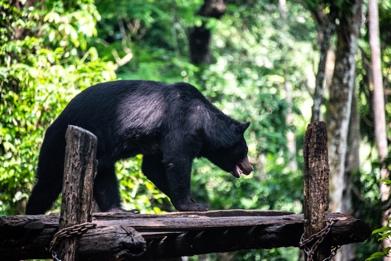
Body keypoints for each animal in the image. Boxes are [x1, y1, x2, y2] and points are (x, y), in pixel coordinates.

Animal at [26, 80, 254, 212]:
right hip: (58, 145)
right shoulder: (181, 123)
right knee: (46, 183)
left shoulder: (157, 140)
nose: (250, 167)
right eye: (245, 151)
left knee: (104, 176)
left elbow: (153, 167)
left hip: (97, 149)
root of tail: (52, 124)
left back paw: (119, 210)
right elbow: (177, 160)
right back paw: (32, 211)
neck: (205, 123)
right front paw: (194, 205)